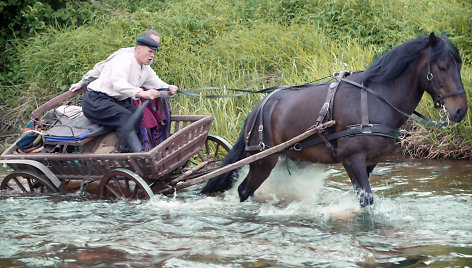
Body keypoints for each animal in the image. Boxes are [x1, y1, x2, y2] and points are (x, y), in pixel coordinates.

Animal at [200, 32, 468, 206]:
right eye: (442, 67)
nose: (460, 111)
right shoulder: (352, 159)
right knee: (244, 190)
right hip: (263, 160)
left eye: (460, 65)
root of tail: (260, 106)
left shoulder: (369, 163)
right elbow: (366, 200)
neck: (376, 99)